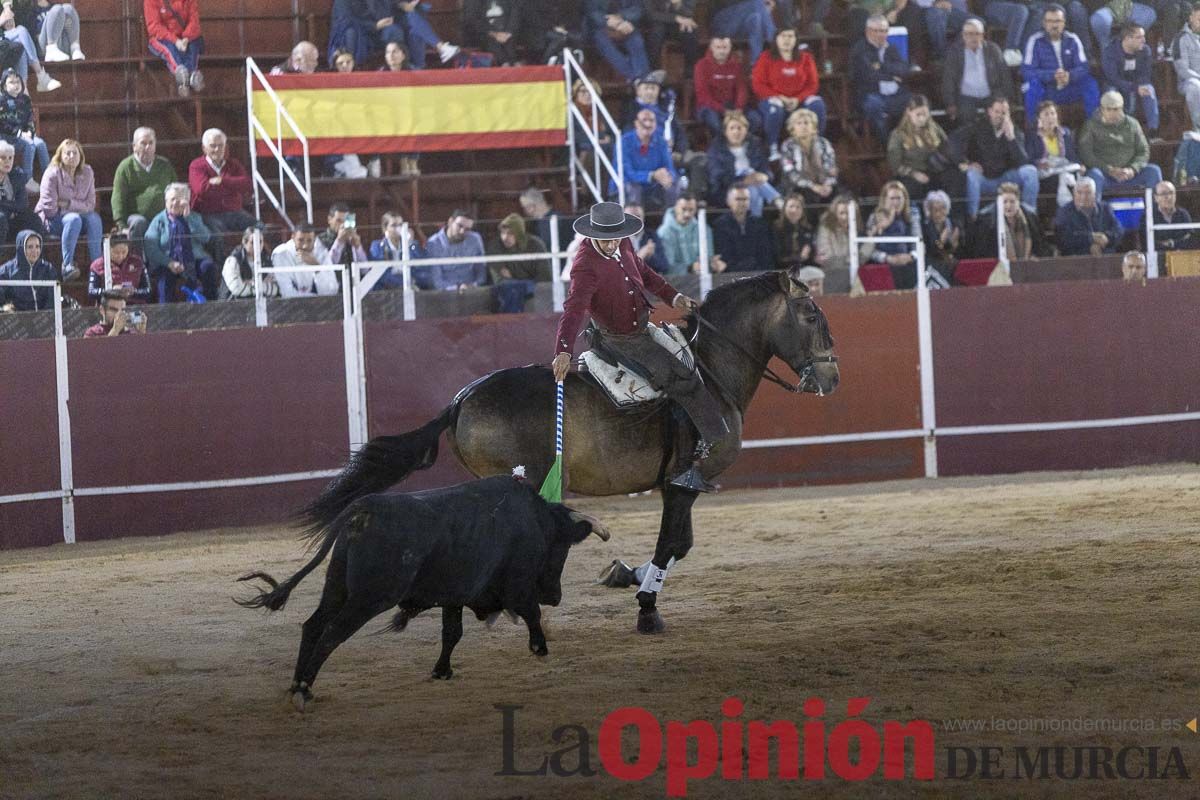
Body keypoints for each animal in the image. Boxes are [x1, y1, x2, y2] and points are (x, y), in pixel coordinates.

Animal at [235, 472, 609, 710]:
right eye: (562, 548)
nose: (555, 596)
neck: (536, 520)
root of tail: (365, 508)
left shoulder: (454, 596)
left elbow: (452, 632)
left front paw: (442, 671)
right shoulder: (516, 586)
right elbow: (531, 612)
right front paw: (540, 648)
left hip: (337, 586)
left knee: (313, 626)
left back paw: (298, 687)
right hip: (370, 598)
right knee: (331, 634)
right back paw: (303, 691)